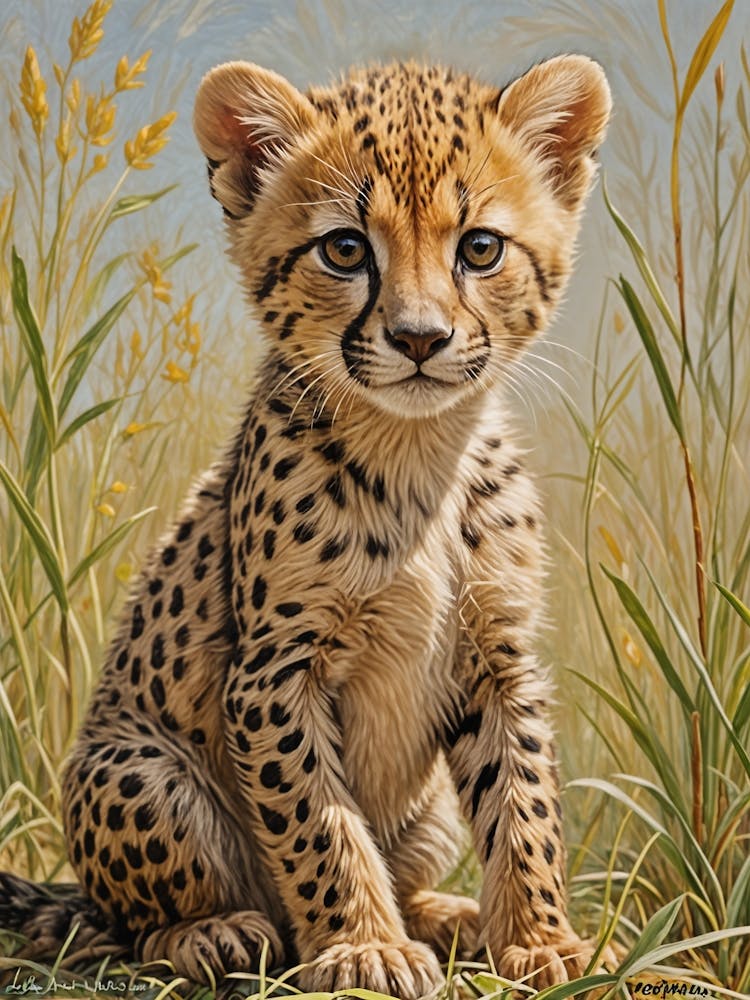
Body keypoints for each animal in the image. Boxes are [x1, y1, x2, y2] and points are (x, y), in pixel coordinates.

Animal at [0, 55, 613, 997]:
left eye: (480, 248)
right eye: (345, 249)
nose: (420, 338)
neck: (415, 453)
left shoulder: (497, 660)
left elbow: (524, 807)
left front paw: (542, 941)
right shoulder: (274, 671)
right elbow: (319, 823)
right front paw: (363, 947)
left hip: (428, 809)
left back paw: (450, 917)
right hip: (134, 769)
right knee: (135, 923)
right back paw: (216, 934)